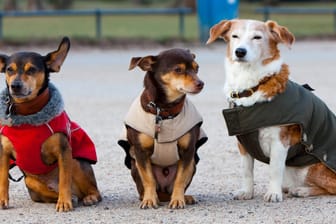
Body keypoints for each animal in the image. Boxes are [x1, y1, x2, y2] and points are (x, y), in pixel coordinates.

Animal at [0, 37, 101, 212]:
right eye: (9, 70)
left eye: (31, 70)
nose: (15, 86)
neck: (28, 114)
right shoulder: (4, 153)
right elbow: (3, 180)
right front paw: (2, 201)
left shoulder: (64, 151)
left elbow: (64, 180)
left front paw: (64, 203)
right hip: (30, 181)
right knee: (62, 192)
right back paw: (70, 198)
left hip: (76, 162)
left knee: (92, 191)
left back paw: (88, 197)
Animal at [118, 48, 207, 209]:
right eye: (178, 70)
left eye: (197, 68)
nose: (201, 83)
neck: (164, 111)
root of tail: (164, 193)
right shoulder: (140, 152)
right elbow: (149, 180)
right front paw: (149, 200)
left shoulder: (188, 152)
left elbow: (180, 179)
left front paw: (177, 200)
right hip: (135, 165)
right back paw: (151, 197)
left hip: (192, 164)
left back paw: (183, 197)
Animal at [206, 18, 336, 202]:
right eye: (235, 36)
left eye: (257, 37)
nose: (240, 52)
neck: (253, 86)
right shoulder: (243, 143)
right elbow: (246, 171)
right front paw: (247, 191)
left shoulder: (280, 141)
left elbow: (274, 169)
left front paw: (273, 193)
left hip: (312, 169)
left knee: (331, 187)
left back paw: (302, 190)